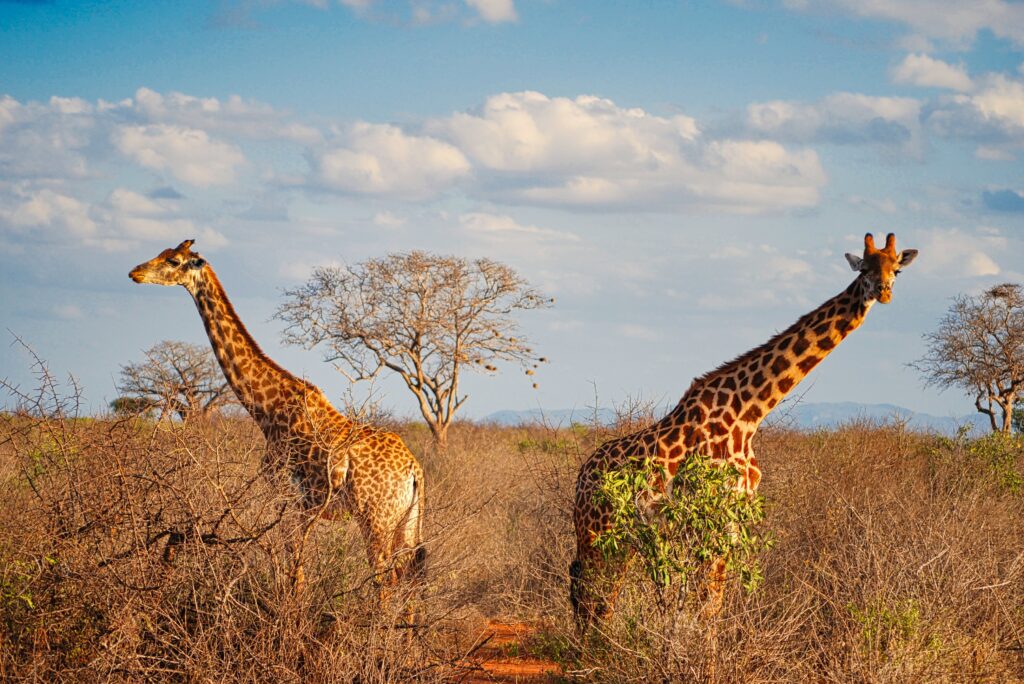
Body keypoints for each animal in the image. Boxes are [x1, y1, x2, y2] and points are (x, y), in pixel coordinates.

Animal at [130, 240, 425, 593]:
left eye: (173, 260)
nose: (134, 272)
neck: (265, 409)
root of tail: (414, 471)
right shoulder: (302, 509)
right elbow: (297, 569)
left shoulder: (284, 498)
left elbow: (294, 571)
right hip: (406, 522)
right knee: (406, 580)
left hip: (376, 517)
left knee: (383, 579)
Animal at [569, 232, 921, 634]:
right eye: (864, 269)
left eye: (895, 269)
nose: (884, 292)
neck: (748, 413)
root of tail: (581, 477)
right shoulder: (714, 518)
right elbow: (707, 605)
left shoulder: (733, 520)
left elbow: (711, 605)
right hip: (598, 531)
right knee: (592, 597)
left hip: (626, 539)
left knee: (593, 595)